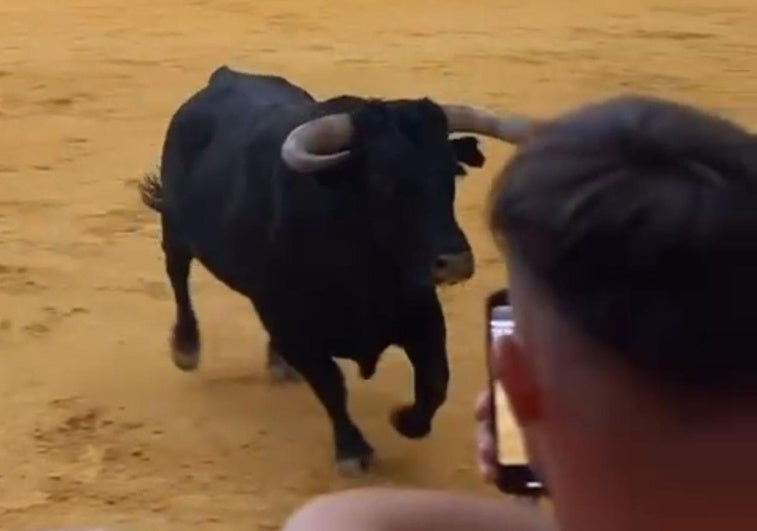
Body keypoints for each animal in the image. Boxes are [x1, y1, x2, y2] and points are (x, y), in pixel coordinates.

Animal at [140, 65, 532, 474]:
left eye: (452, 172)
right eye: (380, 179)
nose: (454, 262)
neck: (361, 264)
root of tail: (225, 75)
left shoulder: (421, 314)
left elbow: (435, 380)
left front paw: (404, 420)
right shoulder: (293, 326)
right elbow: (331, 384)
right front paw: (353, 450)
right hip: (175, 230)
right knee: (178, 276)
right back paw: (186, 347)